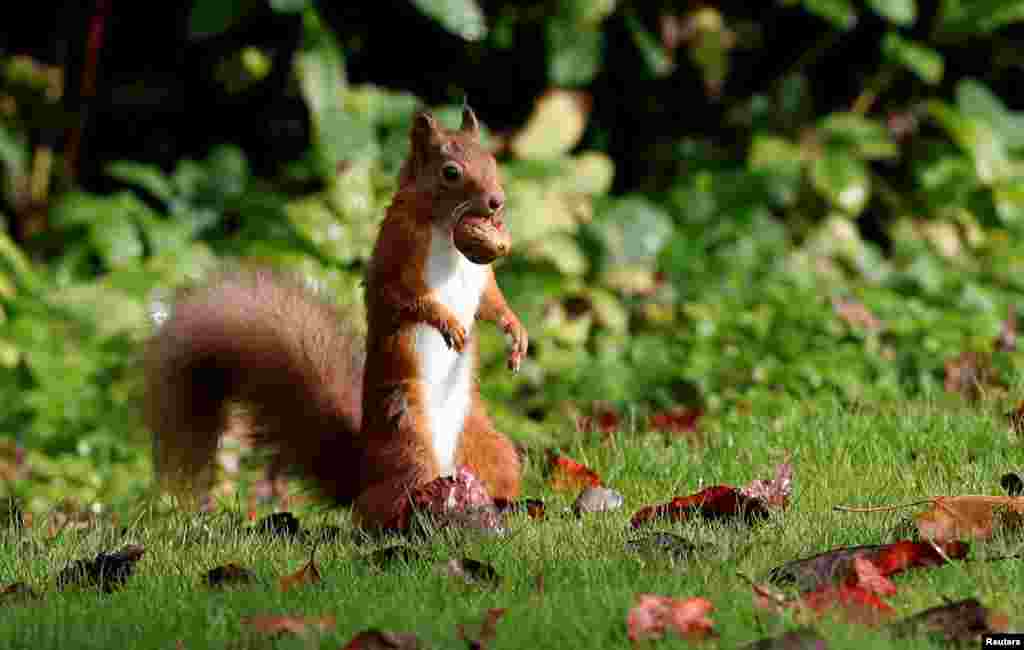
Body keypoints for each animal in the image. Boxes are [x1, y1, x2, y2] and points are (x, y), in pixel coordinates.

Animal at [145, 106, 528, 531]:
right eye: (450, 172)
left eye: (492, 160)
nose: (497, 201)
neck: (447, 230)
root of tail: (362, 473)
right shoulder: (398, 253)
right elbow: (404, 297)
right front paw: (448, 323)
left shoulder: (480, 278)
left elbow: (492, 300)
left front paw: (516, 332)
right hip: (409, 439)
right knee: (382, 505)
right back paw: (419, 517)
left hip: (486, 443)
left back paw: (505, 507)